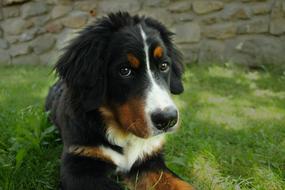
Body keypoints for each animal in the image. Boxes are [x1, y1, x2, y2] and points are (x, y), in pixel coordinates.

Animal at [46, 11, 193, 190]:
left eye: (164, 66)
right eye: (125, 70)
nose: (167, 119)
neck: (123, 135)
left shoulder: (149, 158)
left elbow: (182, 184)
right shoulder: (79, 164)